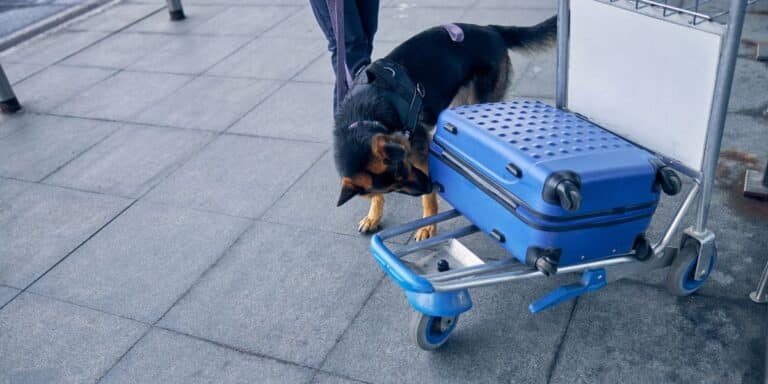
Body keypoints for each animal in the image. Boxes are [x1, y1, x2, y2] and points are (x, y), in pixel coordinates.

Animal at [332, 18, 556, 242]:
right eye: (393, 188)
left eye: (405, 167)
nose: (430, 185)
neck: (362, 116)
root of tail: (489, 29)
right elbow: (376, 196)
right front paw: (374, 215)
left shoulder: (421, 155)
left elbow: (428, 199)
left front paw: (428, 225)